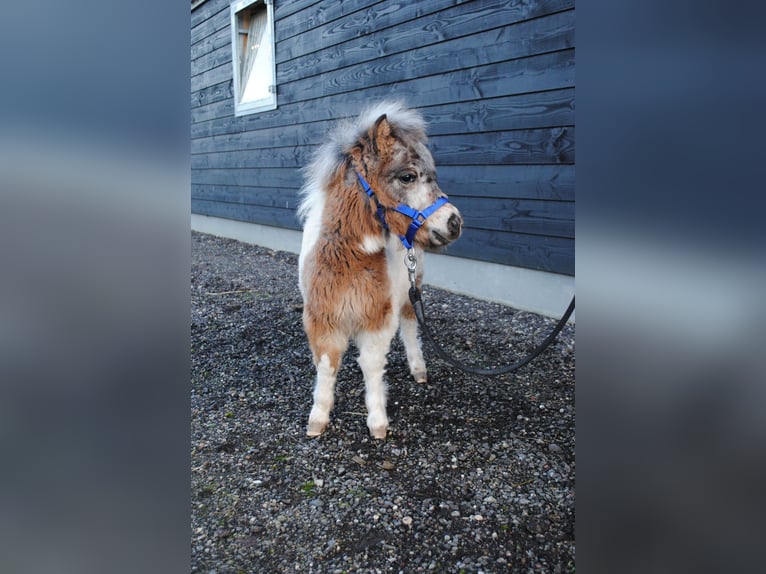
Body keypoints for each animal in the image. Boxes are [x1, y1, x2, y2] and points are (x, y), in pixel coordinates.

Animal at [298, 101, 462, 438]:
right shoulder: (322, 320)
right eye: (408, 176)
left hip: (412, 290)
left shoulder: (376, 319)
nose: (454, 223)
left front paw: (377, 424)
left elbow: (371, 365)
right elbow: (326, 366)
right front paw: (317, 420)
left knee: (411, 326)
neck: (348, 264)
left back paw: (418, 370)